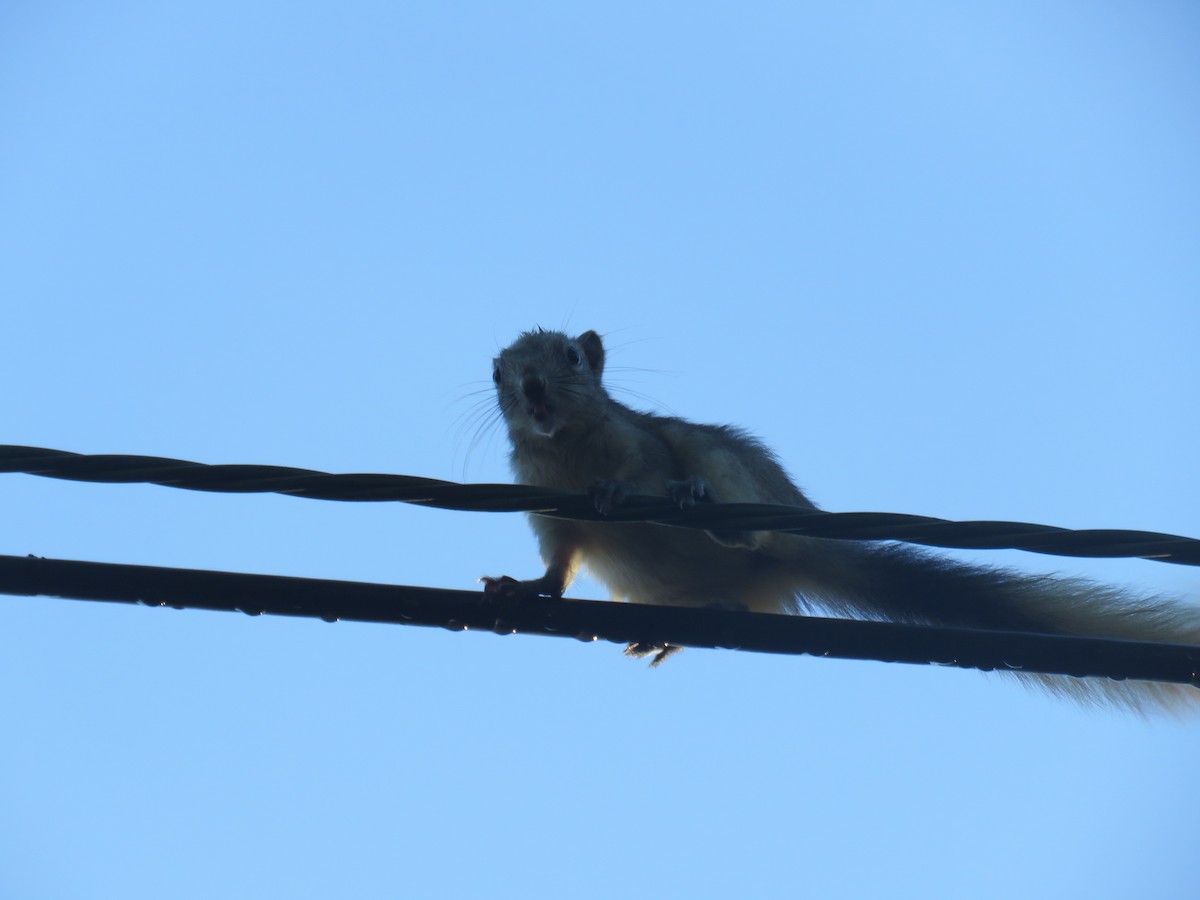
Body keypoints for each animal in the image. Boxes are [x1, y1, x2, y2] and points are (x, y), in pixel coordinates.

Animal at [484, 327, 1200, 713]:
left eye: (571, 358)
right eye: (500, 373)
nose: (533, 389)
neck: (566, 451)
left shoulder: (641, 444)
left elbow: (637, 476)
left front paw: (615, 489)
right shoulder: (544, 509)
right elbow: (557, 568)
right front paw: (523, 590)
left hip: (727, 462)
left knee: (746, 524)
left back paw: (714, 511)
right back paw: (686, 624)